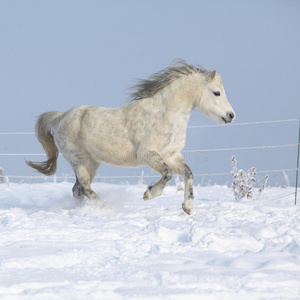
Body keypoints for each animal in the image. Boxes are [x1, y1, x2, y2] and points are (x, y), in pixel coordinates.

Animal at [27, 59, 236, 213]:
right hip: (79, 161)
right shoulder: (148, 154)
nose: (231, 116)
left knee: (77, 190)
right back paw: (108, 208)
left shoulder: (172, 155)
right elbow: (167, 174)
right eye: (217, 93)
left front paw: (187, 207)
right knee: (85, 188)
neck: (165, 115)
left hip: (91, 163)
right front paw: (149, 194)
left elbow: (188, 173)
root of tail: (59, 118)